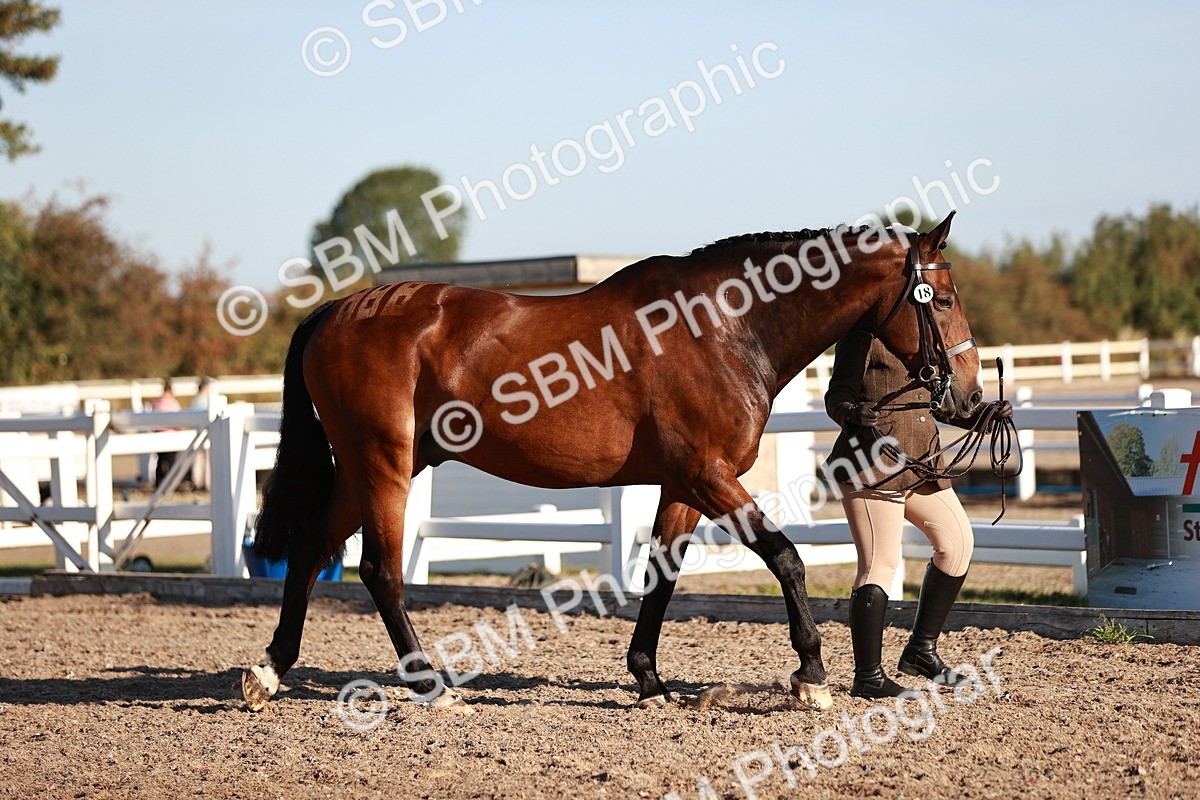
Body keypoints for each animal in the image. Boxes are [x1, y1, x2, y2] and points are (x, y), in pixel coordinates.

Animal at [241, 211, 982, 714]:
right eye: (942, 299)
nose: (970, 398)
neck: (722, 327)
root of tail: (339, 311)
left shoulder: (683, 484)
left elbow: (661, 575)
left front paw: (650, 679)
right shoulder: (712, 476)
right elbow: (786, 558)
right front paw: (811, 678)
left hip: (368, 467)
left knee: (311, 551)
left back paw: (270, 671)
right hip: (384, 464)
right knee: (379, 570)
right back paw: (431, 685)